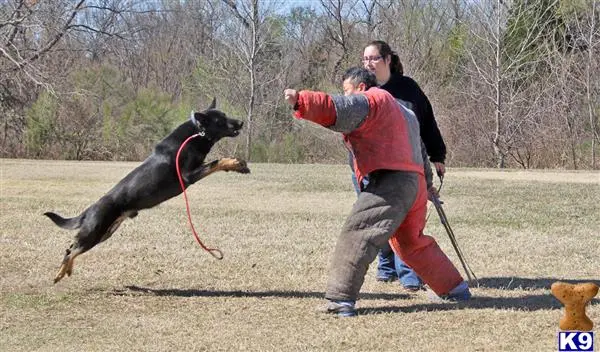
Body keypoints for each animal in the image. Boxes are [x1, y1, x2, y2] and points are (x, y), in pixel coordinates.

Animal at [45, 98, 248, 284]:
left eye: (225, 115)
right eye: (220, 120)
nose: (241, 122)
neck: (197, 133)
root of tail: (89, 210)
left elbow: (215, 163)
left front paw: (238, 165)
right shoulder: (188, 175)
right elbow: (216, 162)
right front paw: (235, 163)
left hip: (105, 233)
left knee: (72, 247)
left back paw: (66, 270)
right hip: (94, 232)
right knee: (71, 249)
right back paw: (59, 273)